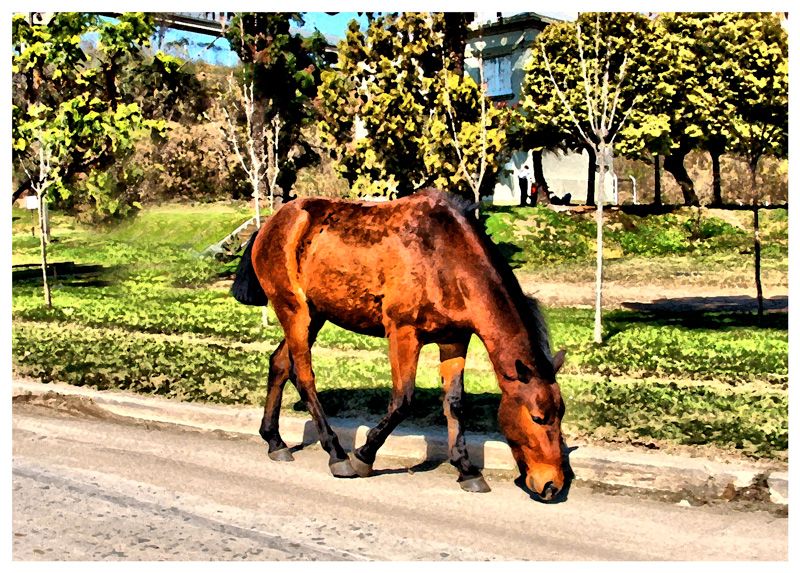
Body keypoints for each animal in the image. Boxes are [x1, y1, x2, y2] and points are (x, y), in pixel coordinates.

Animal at [231, 190, 568, 498]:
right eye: (537, 418)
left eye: (561, 414)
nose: (552, 485)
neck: (445, 258)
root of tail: (270, 224)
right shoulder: (404, 334)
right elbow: (403, 399)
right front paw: (364, 456)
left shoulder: (454, 340)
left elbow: (455, 404)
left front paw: (467, 470)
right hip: (294, 311)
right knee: (303, 376)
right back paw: (337, 455)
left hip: (315, 315)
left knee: (279, 363)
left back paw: (275, 441)